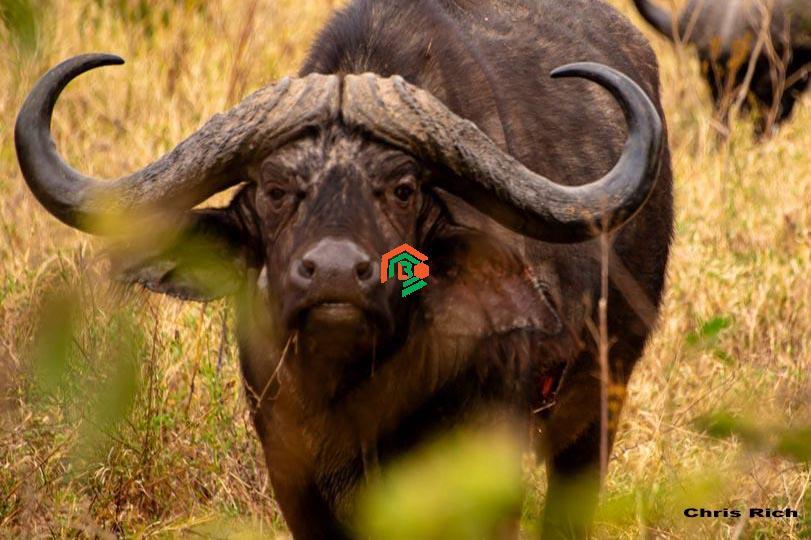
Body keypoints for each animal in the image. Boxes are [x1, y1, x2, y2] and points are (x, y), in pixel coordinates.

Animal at [15, 0, 673, 537]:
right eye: (276, 190)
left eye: (403, 190)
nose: (333, 274)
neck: (356, 385)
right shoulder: (292, 470)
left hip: (600, 400)